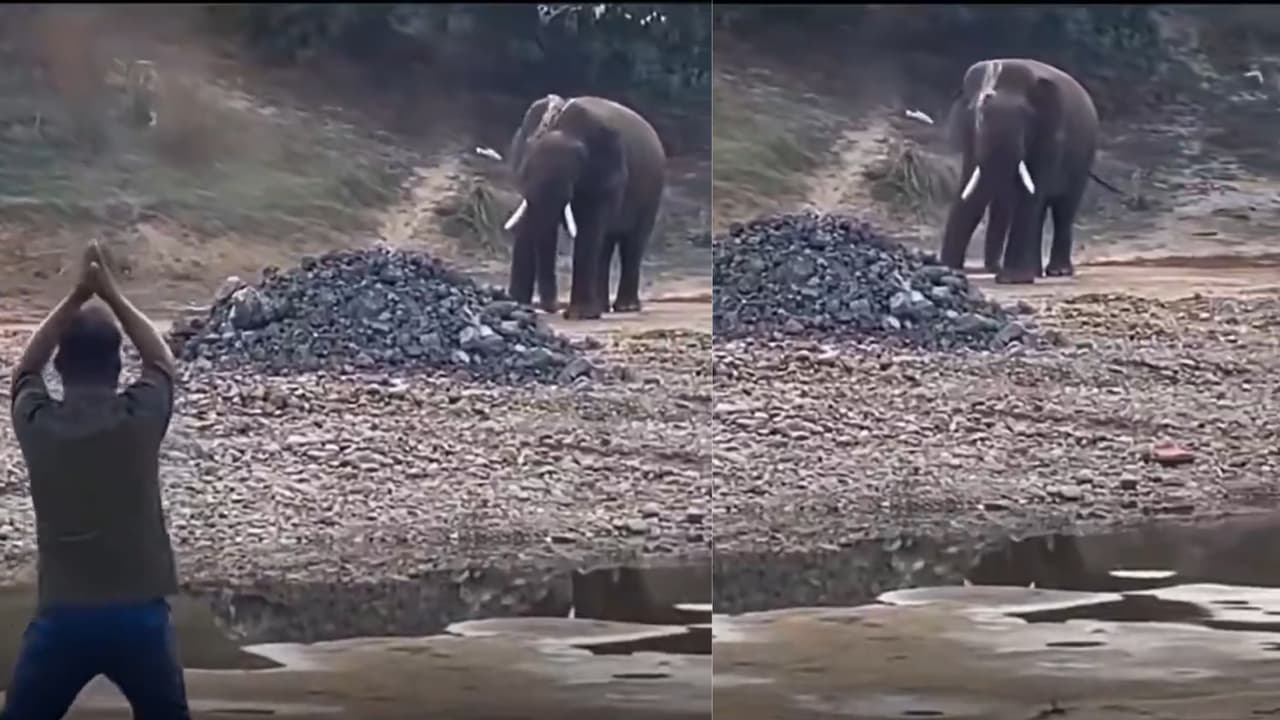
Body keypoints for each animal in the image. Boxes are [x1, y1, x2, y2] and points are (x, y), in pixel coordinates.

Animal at [504, 94, 666, 319]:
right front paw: (517, 304)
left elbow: (589, 228)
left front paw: (580, 315)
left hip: (652, 191)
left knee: (632, 242)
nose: (551, 307)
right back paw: (602, 307)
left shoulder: (605, 175)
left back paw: (625, 308)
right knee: (606, 244)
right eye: (526, 163)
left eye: (577, 166)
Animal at [939, 58, 1101, 284]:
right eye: (976, 116)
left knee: (1063, 208)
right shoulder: (970, 137)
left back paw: (1057, 272)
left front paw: (1012, 279)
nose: (993, 268)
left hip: (1084, 157)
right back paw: (1037, 272)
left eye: (1026, 118)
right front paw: (947, 269)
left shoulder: (1050, 135)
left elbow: (1029, 194)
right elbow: (971, 190)